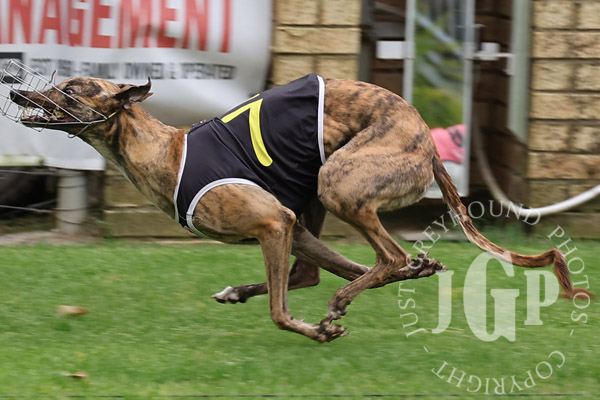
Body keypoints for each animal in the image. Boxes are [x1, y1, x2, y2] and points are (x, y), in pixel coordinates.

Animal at [9, 73, 583, 342]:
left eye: (69, 90)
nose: (17, 93)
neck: (164, 150)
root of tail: (426, 138)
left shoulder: (273, 222)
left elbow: (281, 312)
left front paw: (319, 331)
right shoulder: (289, 225)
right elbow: (307, 276)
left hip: (337, 184)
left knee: (383, 258)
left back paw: (347, 300)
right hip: (314, 201)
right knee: (340, 268)